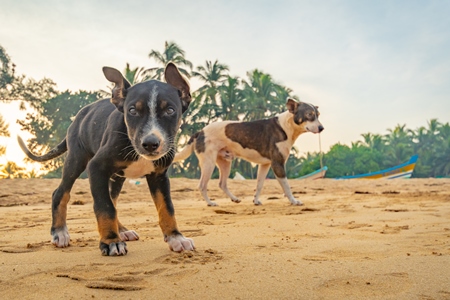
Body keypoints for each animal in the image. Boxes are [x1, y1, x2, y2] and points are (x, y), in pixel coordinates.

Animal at [18, 62, 194, 255]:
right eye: (132, 111)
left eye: (170, 110)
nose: (150, 144)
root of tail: (77, 119)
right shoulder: (97, 167)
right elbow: (105, 207)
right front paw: (111, 241)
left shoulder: (159, 175)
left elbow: (166, 207)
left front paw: (176, 237)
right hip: (76, 160)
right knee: (60, 193)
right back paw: (59, 232)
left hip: (117, 177)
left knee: (113, 199)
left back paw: (122, 230)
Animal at [172, 98, 324, 206]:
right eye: (309, 115)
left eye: (318, 115)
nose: (322, 128)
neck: (285, 126)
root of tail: (200, 132)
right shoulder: (278, 164)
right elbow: (286, 186)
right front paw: (293, 201)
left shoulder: (265, 165)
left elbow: (259, 184)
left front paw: (256, 201)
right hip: (208, 163)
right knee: (202, 185)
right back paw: (210, 203)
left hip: (225, 163)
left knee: (222, 184)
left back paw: (234, 199)